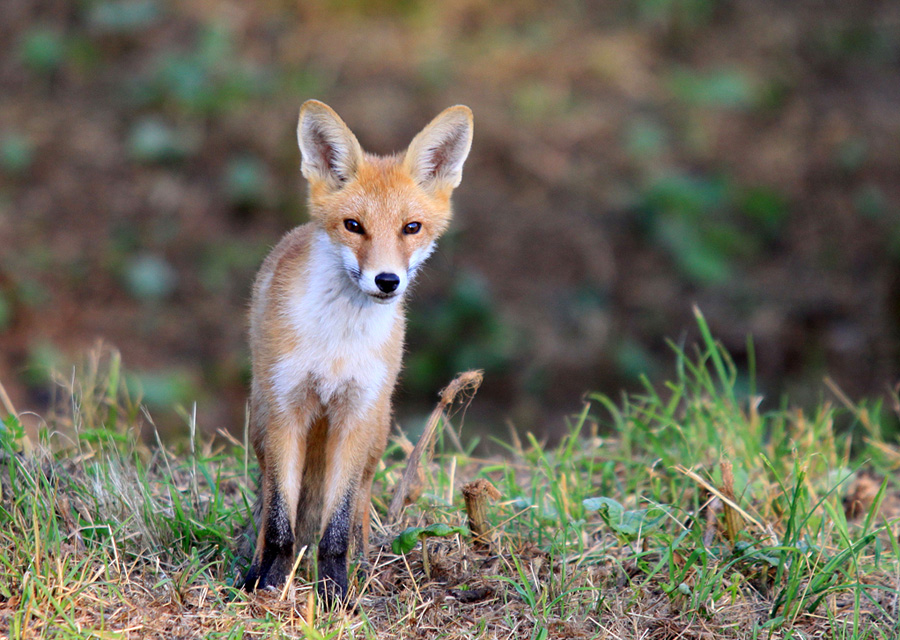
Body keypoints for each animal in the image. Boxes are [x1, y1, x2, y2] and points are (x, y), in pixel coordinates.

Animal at [243, 100, 474, 600]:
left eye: (411, 228)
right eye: (354, 226)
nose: (387, 281)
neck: (337, 344)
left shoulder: (356, 413)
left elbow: (336, 526)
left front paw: (335, 592)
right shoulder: (286, 408)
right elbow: (280, 523)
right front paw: (268, 583)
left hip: (375, 429)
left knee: (361, 502)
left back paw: (364, 563)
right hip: (262, 418)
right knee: (270, 497)